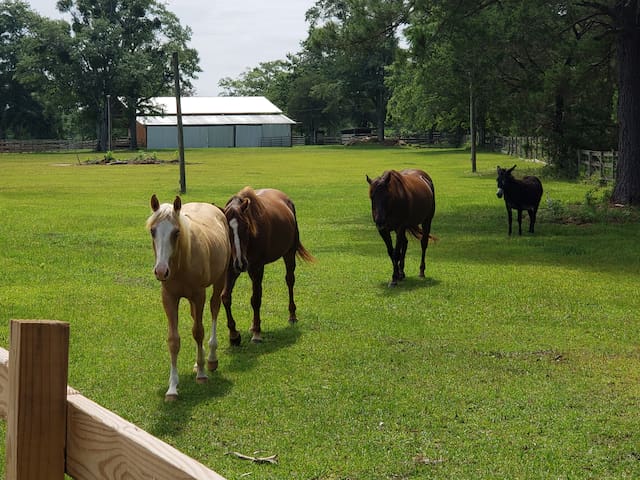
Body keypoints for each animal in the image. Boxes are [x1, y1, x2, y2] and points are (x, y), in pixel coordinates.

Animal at [147, 195, 230, 402]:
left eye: (176, 232)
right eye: (152, 231)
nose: (161, 271)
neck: (180, 264)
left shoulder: (199, 295)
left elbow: (198, 332)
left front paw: (201, 374)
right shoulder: (169, 298)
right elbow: (173, 340)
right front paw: (172, 388)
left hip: (219, 280)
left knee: (214, 309)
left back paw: (210, 359)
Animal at [222, 186, 316, 344]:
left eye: (246, 226)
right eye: (227, 230)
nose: (241, 263)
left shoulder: (257, 268)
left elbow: (255, 299)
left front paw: (257, 333)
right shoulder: (232, 269)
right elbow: (226, 297)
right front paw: (234, 335)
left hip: (289, 254)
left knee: (290, 281)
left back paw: (292, 316)